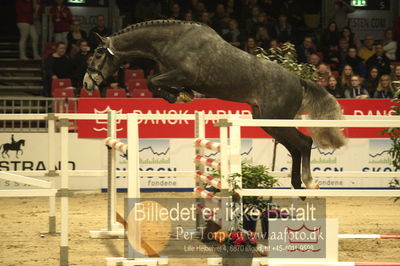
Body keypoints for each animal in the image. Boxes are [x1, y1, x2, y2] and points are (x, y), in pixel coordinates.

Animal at [84, 19, 346, 189]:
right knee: (295, 147)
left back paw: (309, 182)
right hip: (266, 121)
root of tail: (298, 79)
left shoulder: (183, 74)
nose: (87, 83)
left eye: (98, 53)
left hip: (277, 119)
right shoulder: (174, 75)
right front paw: (182, 95)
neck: (170, 40)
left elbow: (152, 82)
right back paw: (297, 185)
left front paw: (178, 96)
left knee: (304, 143)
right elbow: (156, 83)